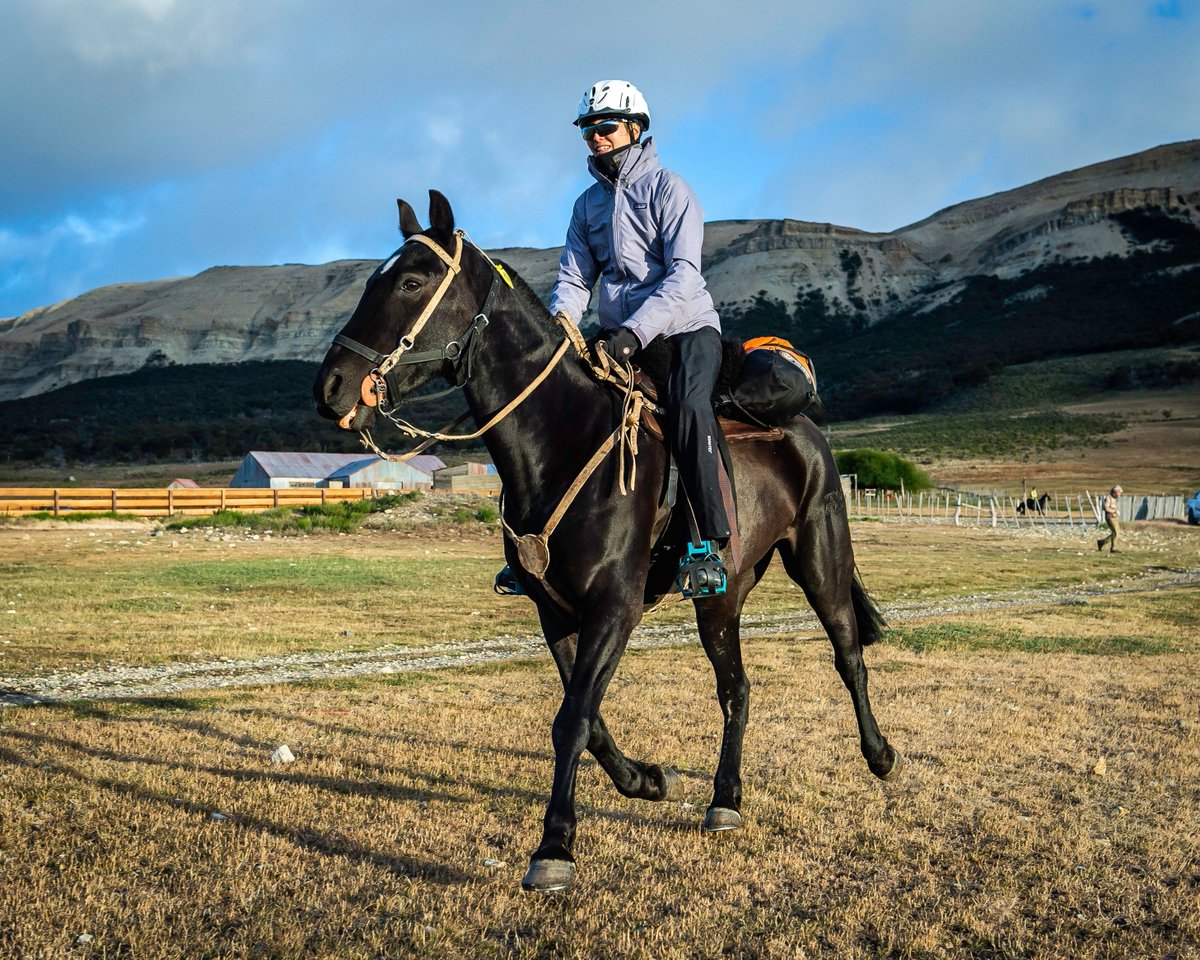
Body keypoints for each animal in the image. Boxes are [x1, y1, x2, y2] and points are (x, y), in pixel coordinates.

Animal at [313, 191, 900, 892]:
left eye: (410, 282)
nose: (331, 388)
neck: (561, 440)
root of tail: (805, 427)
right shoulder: (557, 612)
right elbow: (585, 716)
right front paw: (646, 780)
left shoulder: (613, 608)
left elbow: (571, 720)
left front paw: (555, 849)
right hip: (721, 598)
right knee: (736, 688)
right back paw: (725, 799)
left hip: (820, 562)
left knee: (848, 655)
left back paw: (880, 754)